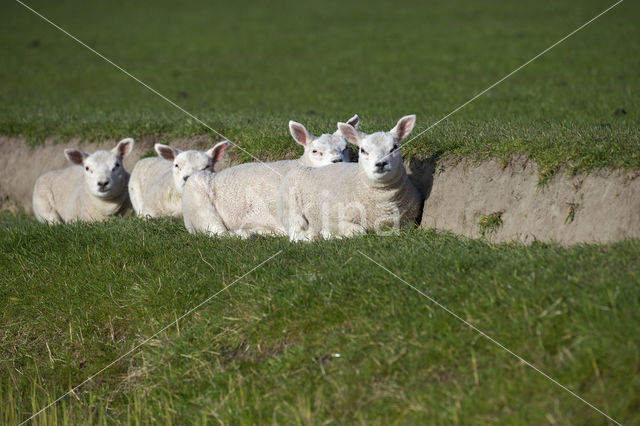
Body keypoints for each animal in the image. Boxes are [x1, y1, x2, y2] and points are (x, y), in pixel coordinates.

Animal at [278, 115, 422, 241]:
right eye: (363, 150)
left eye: (395, 147)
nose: (381, 163)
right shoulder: (332, 219)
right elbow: (358, 231)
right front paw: (328, 234)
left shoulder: (408, 221)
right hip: (291, 208)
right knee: (296, 232)